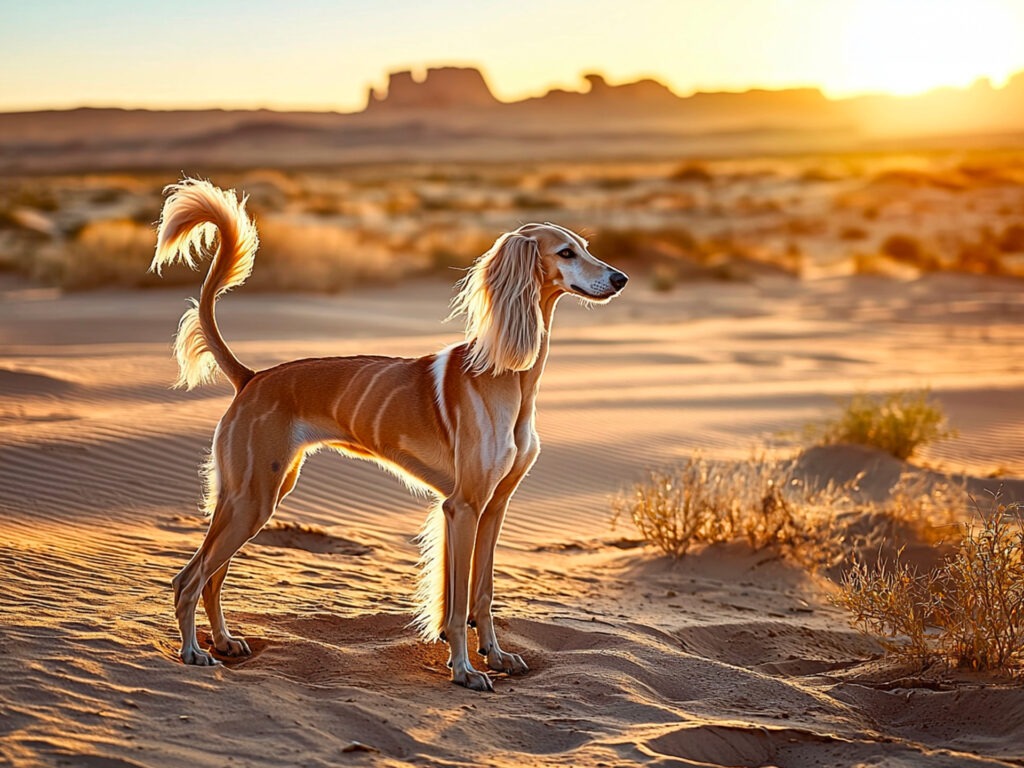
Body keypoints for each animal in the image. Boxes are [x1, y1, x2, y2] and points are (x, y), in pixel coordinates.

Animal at [152, 179, 626, 692]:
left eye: (586, 247)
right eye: (566, 253)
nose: (620, 278)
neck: (508, 377)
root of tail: (252, 377)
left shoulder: (493, 506)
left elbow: (481, 593)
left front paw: (495, 656)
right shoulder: (463, 507)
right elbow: (459, 603)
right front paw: (464, 670)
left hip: (254, 493)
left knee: (213, 577)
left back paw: (222, 641)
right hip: (253, 498)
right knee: (189, 579)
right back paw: (193, 651)